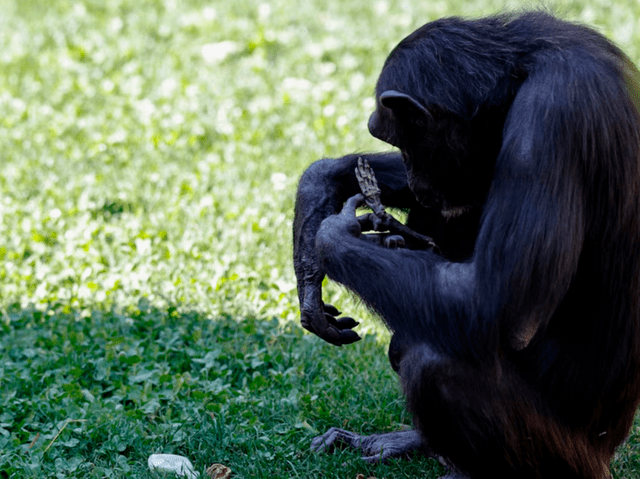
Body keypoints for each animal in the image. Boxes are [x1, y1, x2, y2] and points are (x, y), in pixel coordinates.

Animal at [294, 10, 640, 479]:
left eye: (404, 139)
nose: (415, 176)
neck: (521, 73)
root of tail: (609, 453)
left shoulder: (551, 119)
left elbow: (495, 302)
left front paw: (332, 236)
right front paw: (317, 196)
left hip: (572, 458)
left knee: (434, 363)